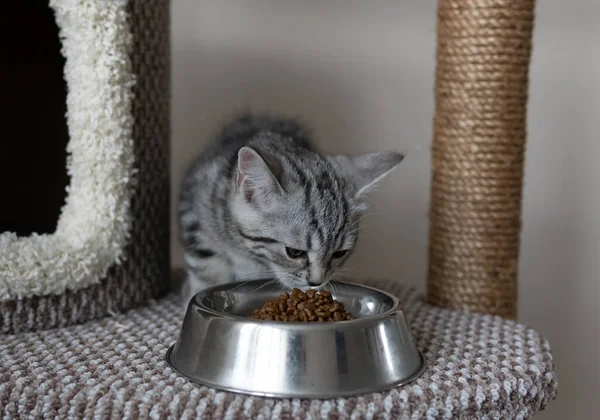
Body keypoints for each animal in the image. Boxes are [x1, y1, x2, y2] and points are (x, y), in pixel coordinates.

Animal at [178, 114, 404, 306]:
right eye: (294, 252)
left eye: (339, 253)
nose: (316, 281)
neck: (244, 251)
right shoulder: (194, 222)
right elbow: (207, 270)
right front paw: (196, 294)